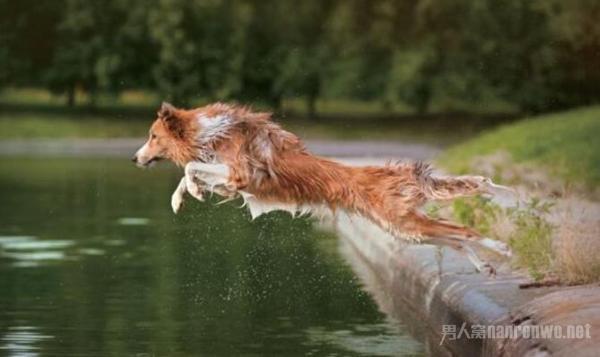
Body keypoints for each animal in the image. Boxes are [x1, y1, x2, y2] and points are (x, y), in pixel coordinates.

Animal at [132, 101, 510, 272]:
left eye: (152, 136)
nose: (134, 159)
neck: (212, 134)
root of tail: (399, 172)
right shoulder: (231, 181)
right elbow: (190, 172)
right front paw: (183, 198)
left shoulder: (240, 174)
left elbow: (191, 167)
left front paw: (192, 190)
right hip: (404, 230)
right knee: (454, 237)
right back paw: (484, 266)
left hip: (403, 223)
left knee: (465, 231)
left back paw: (502, 248)